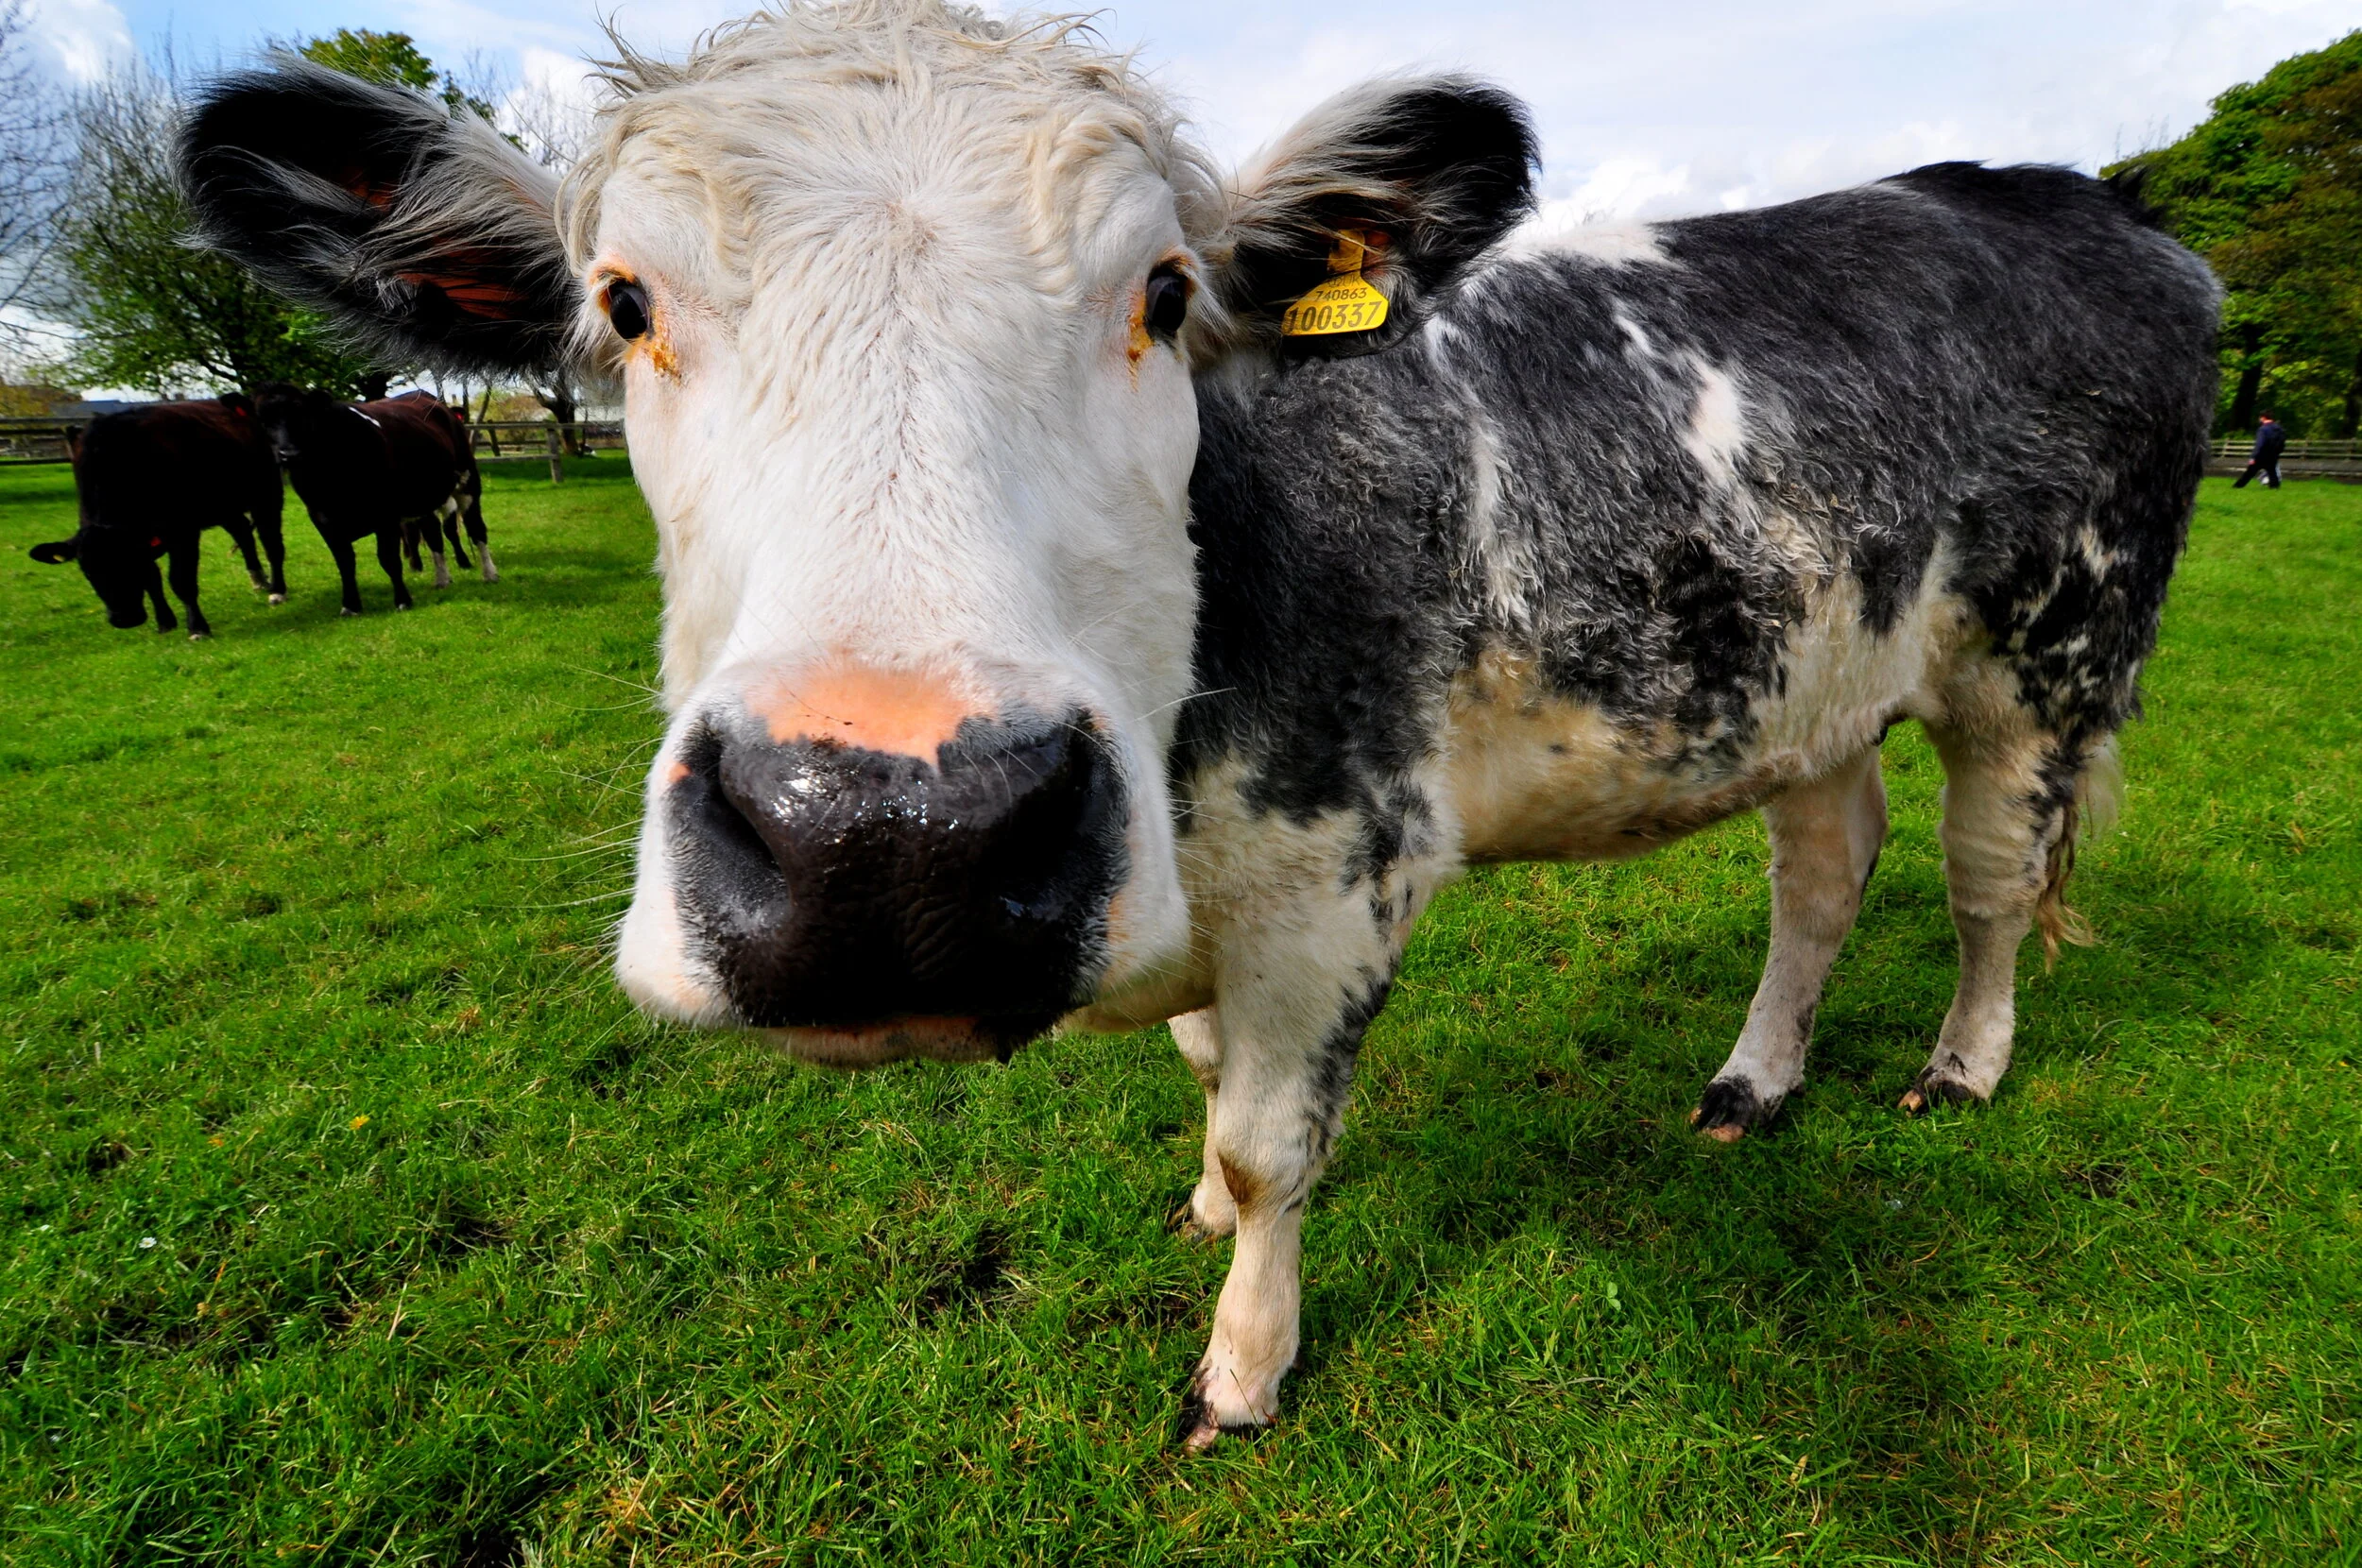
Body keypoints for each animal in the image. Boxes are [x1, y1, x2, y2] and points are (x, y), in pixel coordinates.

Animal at [29, 395, 287, 638]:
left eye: (127, 565)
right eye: (88, 572)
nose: (123, 618)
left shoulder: (181, 531)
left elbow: (180, 580)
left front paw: (197, 627)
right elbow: (152, 578)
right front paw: (165, 621)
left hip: (266, 495)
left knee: (271, 543)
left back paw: (277, 589)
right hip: (224, 506)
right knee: (243, 532)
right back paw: (258, 579)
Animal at [251, 385, 496, 615]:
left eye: (302, 414)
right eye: (263, 421)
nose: (289, 455)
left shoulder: (386, 513)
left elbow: (388, 558)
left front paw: (402, 600)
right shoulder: (322, 518)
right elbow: (345, 562)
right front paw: (351, 605)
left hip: (467, 482)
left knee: (476, 529)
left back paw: (489, 574)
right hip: (425, 500)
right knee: (434, 536)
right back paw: (442, 579)